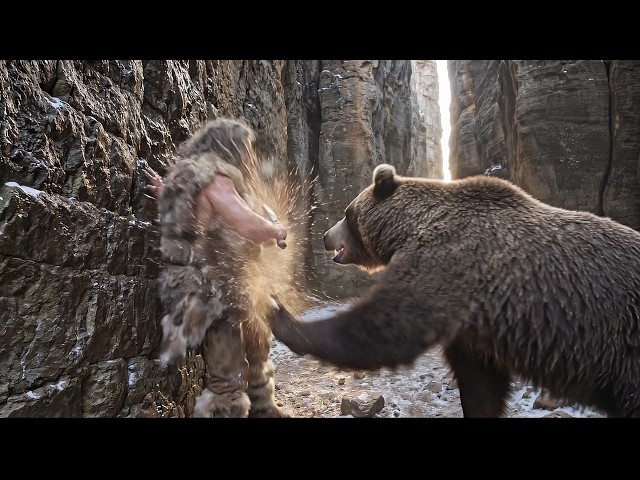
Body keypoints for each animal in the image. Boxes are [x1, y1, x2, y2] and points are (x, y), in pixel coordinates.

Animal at [268, 163, 640, 418]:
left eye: (347, 213)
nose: (325, 236)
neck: (408, 229)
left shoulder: (446, 266)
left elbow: (384, 328)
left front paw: (280, 315)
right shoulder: (473, 323)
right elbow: (480, 383)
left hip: (623, 346)